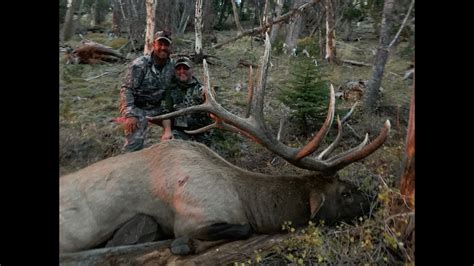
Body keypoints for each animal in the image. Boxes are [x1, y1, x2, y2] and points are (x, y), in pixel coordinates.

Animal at [61, 33, 390, 256]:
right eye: (346, 192)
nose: (377, 201)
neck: (244, 199)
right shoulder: (192, 218)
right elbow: (239, 229)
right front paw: (180, 246)